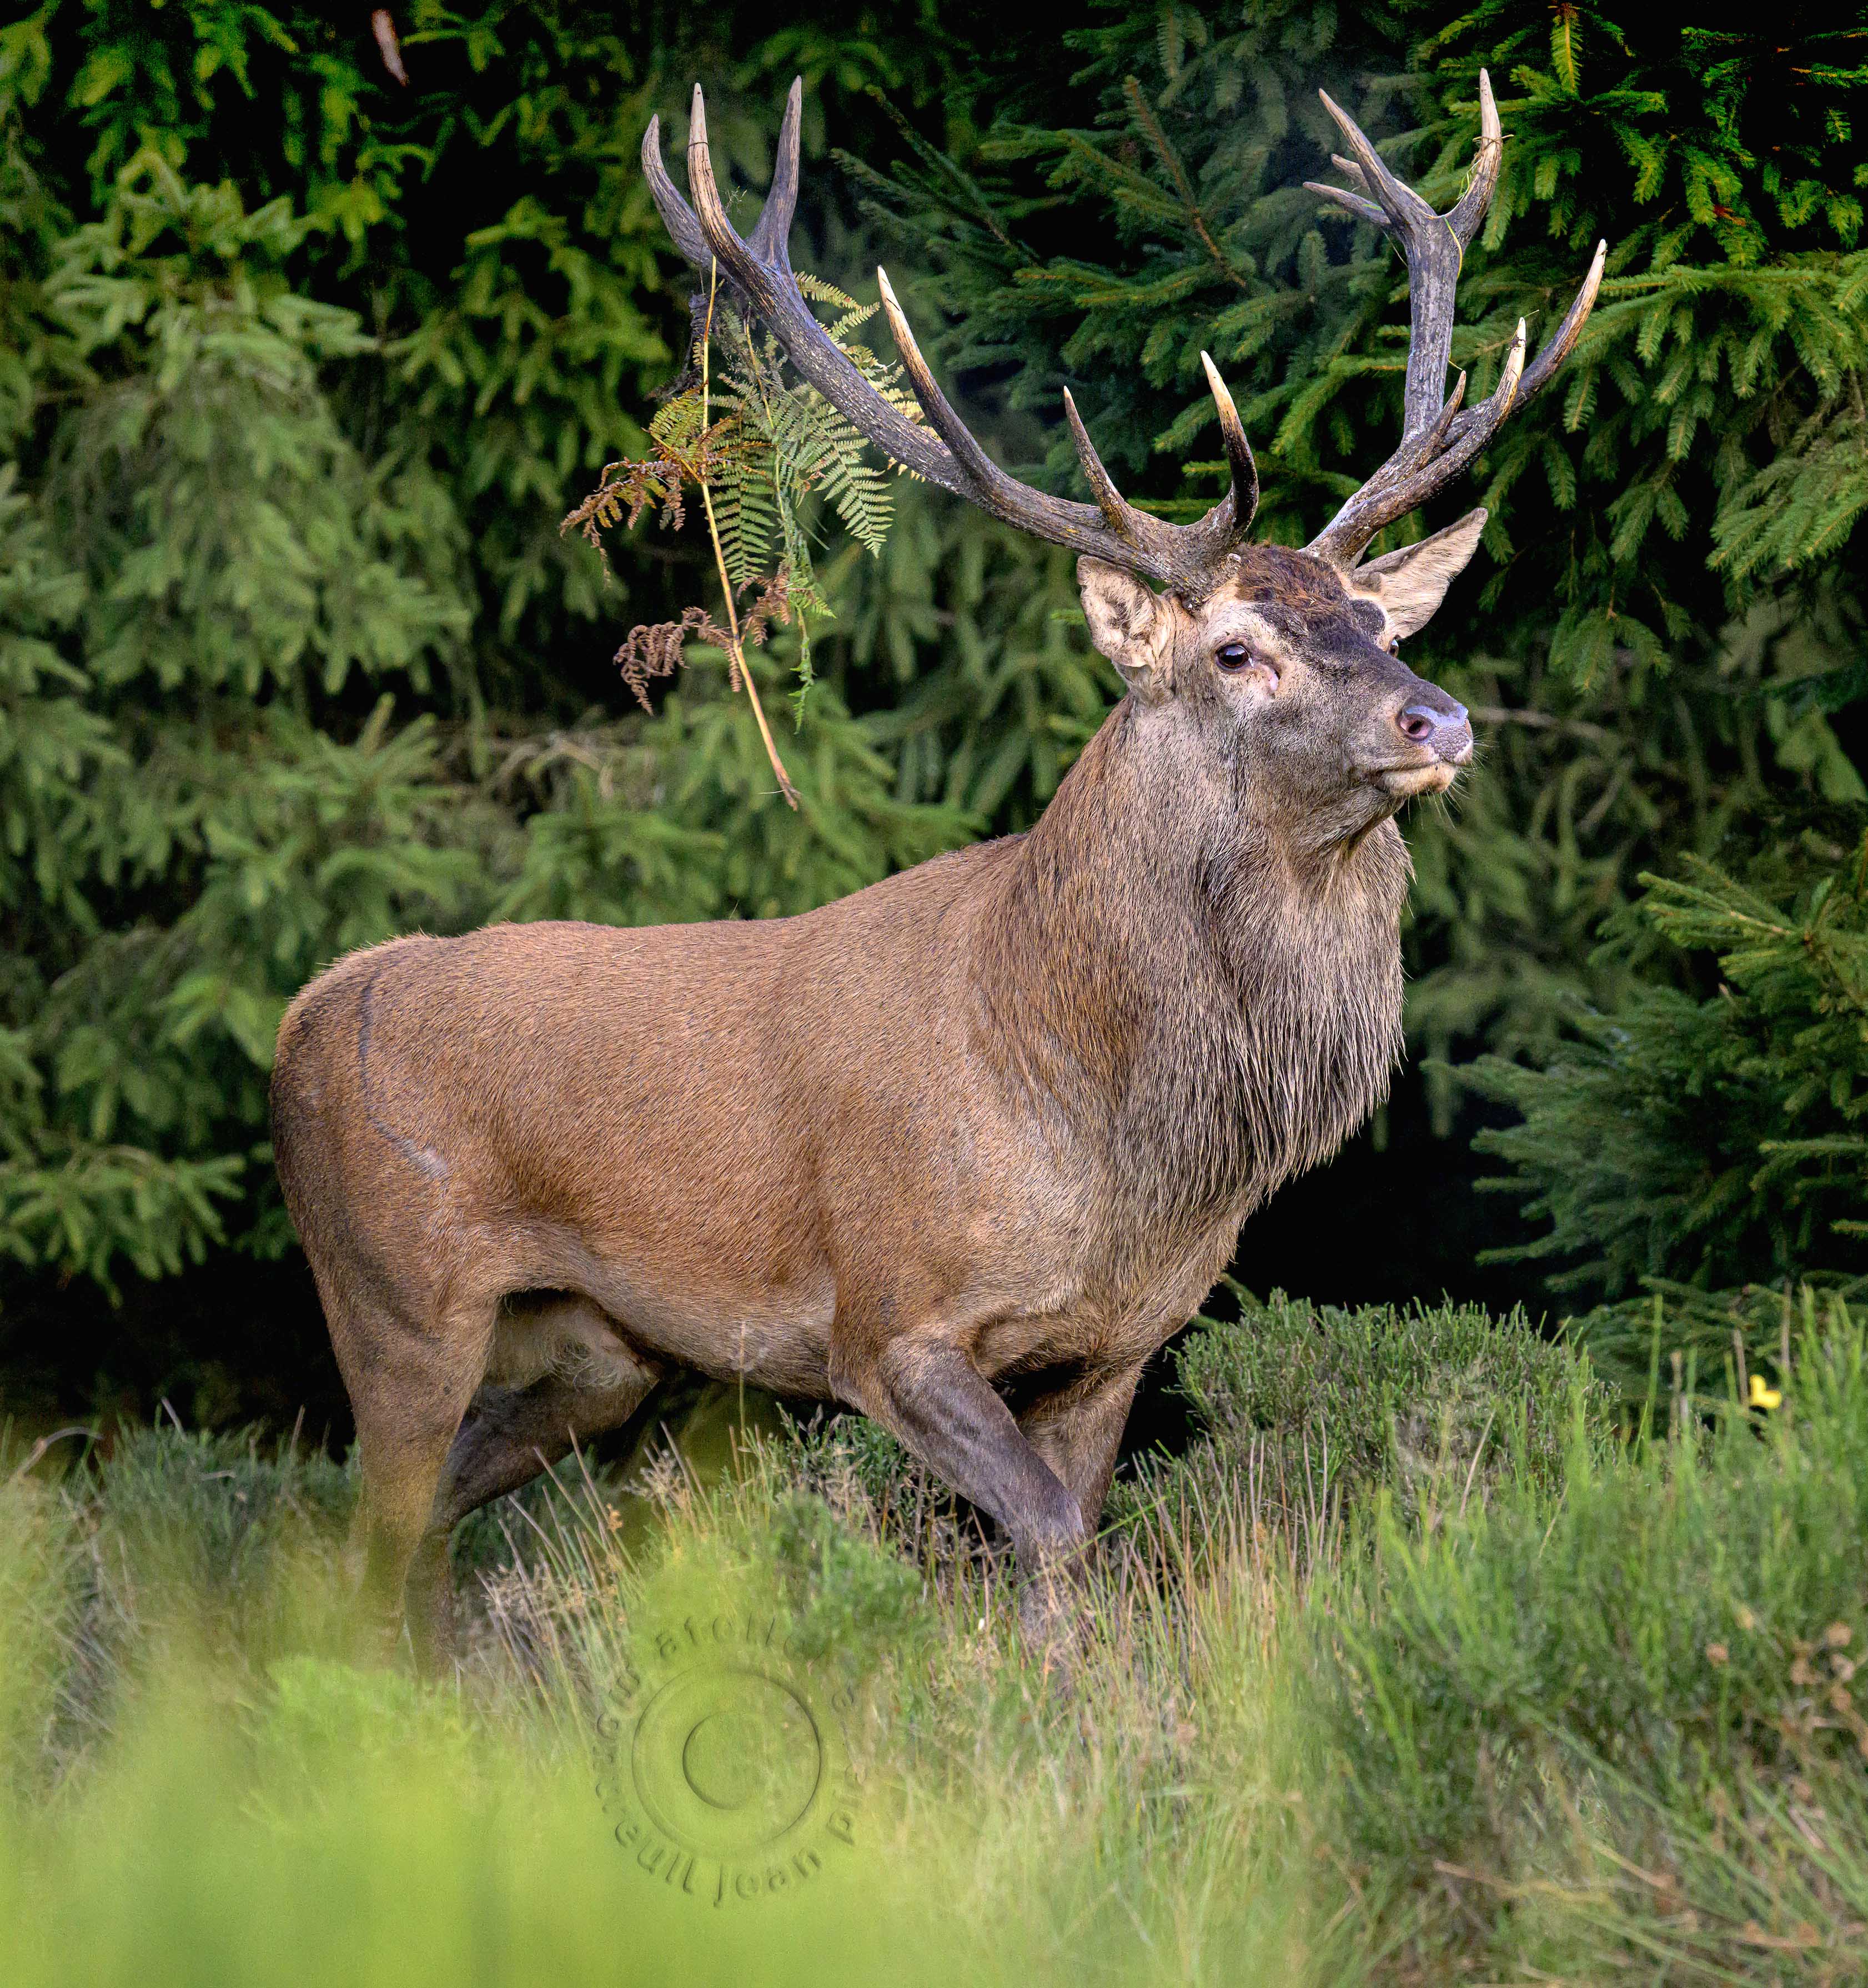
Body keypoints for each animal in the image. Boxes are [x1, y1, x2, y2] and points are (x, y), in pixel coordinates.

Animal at [271, 72, 1602, 1669]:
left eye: (1377, 618)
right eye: (1235, 649)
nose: (1438, 719)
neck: (1105, 1134)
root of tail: (308, 1008)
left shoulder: (1117, 1342)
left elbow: (1063, 1538)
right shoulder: (886, 1318)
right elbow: (1040, 1529)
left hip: (602, 1351)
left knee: (416, 1534)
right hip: (390, 1296)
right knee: (361, 1526)